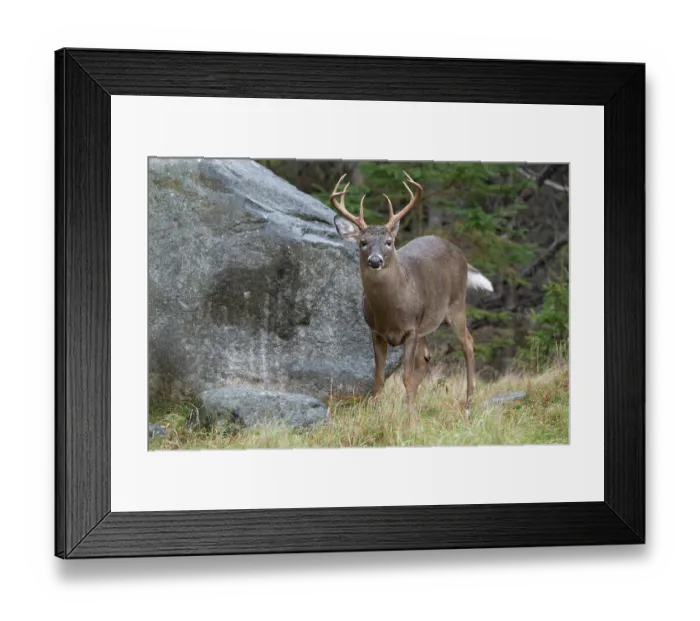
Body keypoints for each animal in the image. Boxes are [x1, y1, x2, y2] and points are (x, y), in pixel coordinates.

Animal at [329, 171, 494, 421]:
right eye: (362, 242)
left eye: (389, 242)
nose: (375, 261)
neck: (389, 312)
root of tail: (461, 255)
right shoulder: (376, 331)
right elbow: (378, 378)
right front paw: (377, 414)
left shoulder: (410, 329)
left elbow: (405, 376)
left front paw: (410, 420)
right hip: (427, 323)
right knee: (426, 357)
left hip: (456, 304)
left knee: (468, 343)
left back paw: (467, 406)